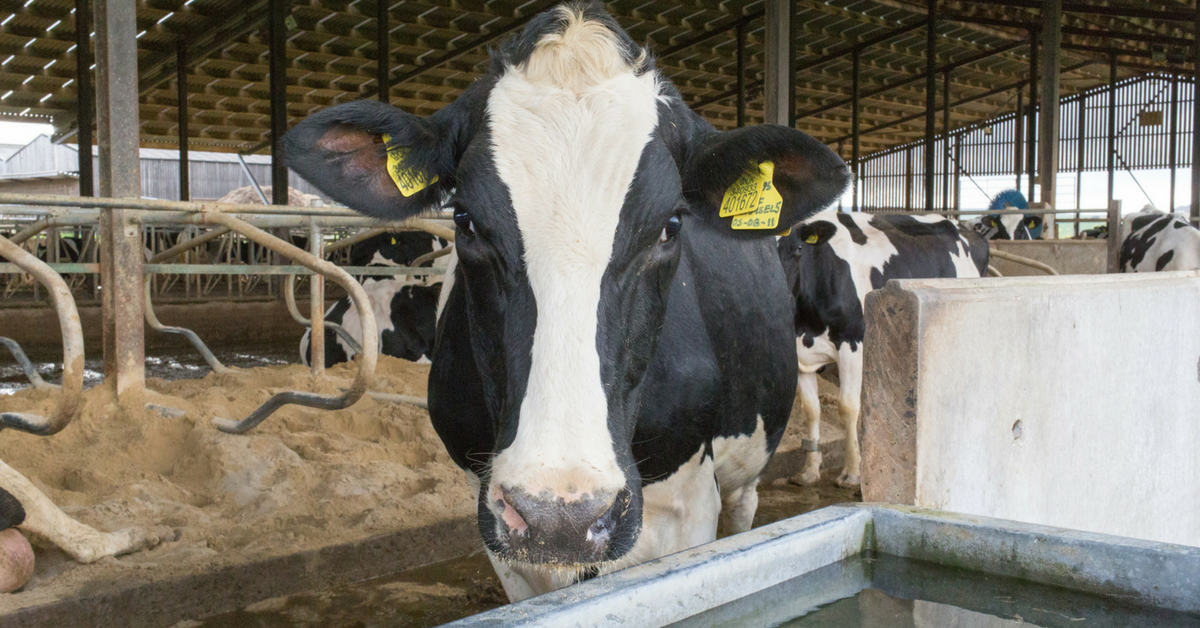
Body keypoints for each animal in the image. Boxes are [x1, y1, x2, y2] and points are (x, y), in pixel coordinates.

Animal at [777, 213, 984, 489]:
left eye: (799, 249)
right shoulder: (801, 354)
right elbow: (811, 409)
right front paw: (809, 471)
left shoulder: (852, 344)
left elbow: (848, 407)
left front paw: (852, 472)